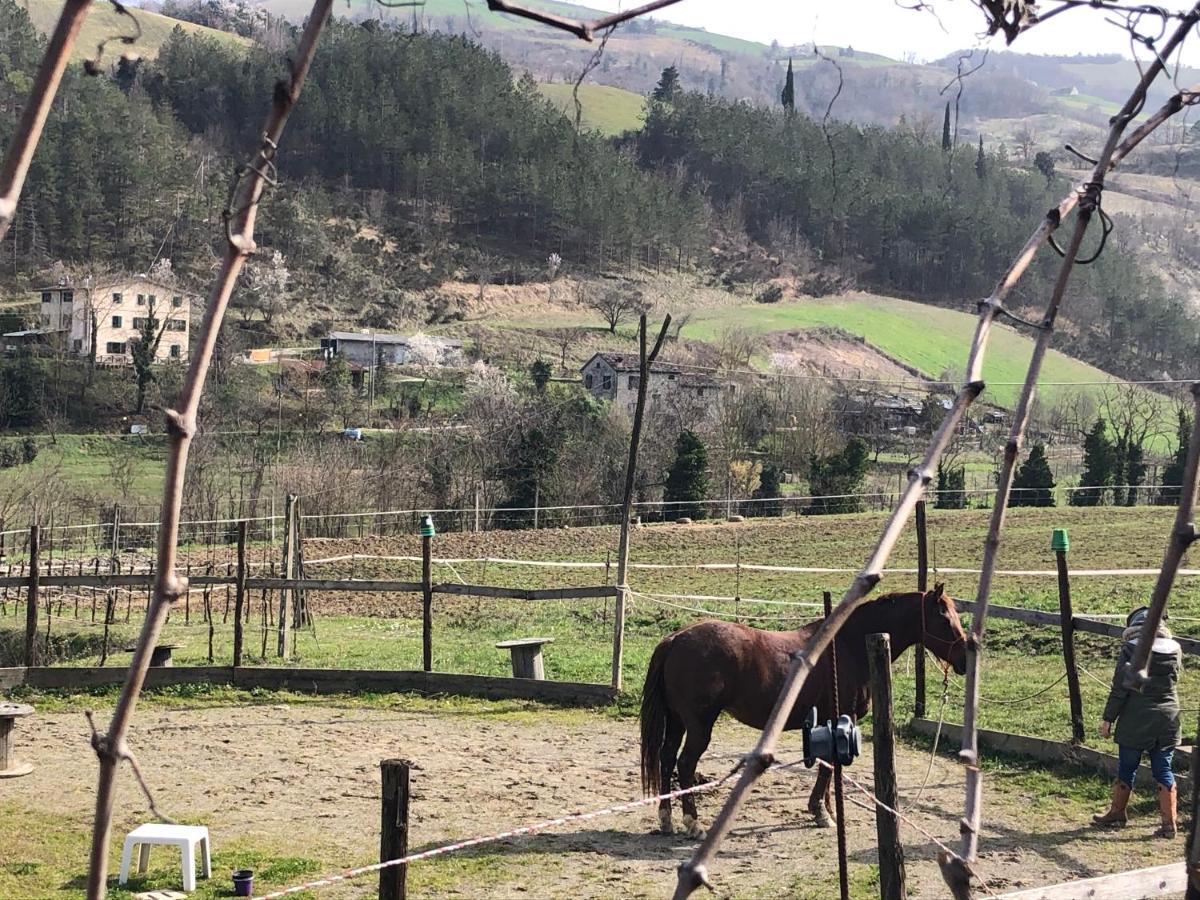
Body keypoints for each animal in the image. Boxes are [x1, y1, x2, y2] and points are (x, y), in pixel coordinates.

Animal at [638, 585, 964, 840]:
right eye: (944, 617)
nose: (965, 654)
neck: (847, 646)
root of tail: (676, 639)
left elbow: (828, 765)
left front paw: (827, 808)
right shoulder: (841, 717)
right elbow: (827, 767)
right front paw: (821, 812)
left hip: (677, 721)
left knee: (666, 759)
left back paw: (666, 819)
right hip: (698, 724)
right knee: (684, 764)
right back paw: (692, 823)